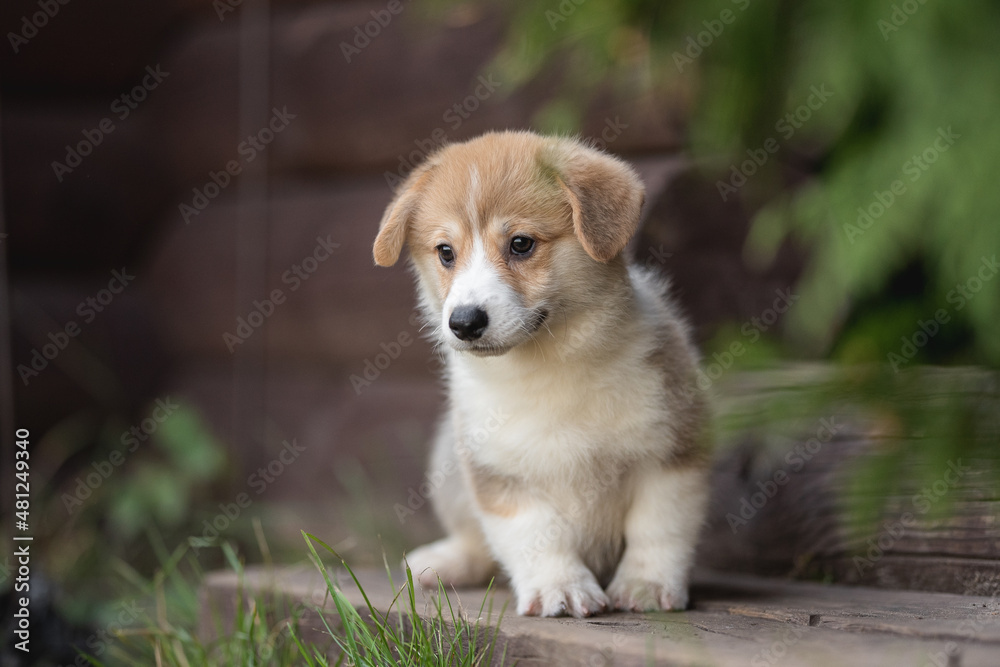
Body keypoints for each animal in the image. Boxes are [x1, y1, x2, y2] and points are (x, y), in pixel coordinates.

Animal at [372, 132, 708, 620]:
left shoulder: (672, 451)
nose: (464, 322)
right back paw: (442, 563)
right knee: (477, 545)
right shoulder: (500, 474)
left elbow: (657, 528)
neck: (549, 364)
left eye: (521, 244)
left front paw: (645, 586)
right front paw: (561, 588)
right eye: (446, 252)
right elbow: (535, 534)